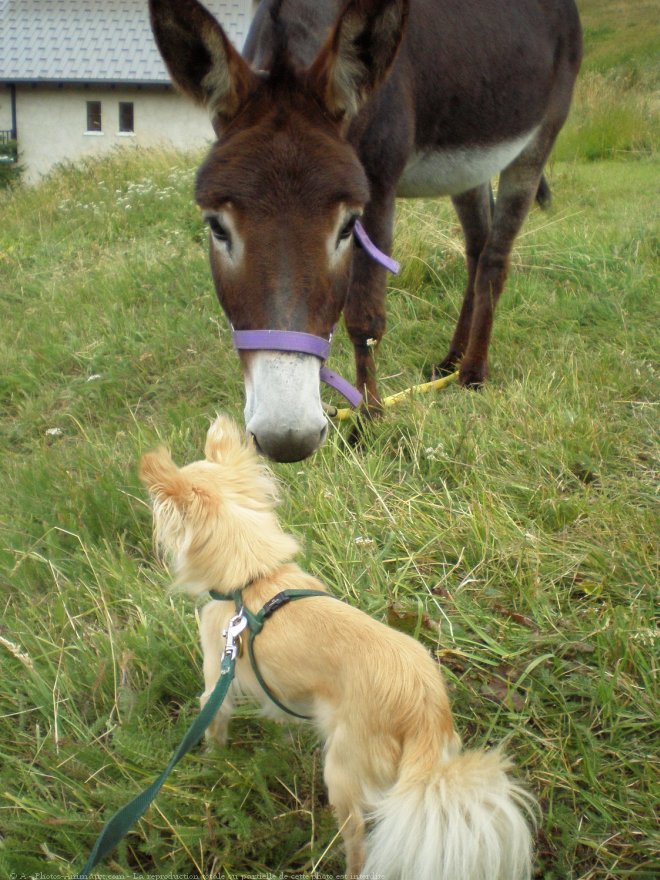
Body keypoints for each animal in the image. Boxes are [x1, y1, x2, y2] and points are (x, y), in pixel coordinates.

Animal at [141, 416, 536, 876]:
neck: (256, 579)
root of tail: (422, 709)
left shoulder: (216, 678)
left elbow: (213, 726)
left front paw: (212, 767)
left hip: (343, 773)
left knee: (358, 839)